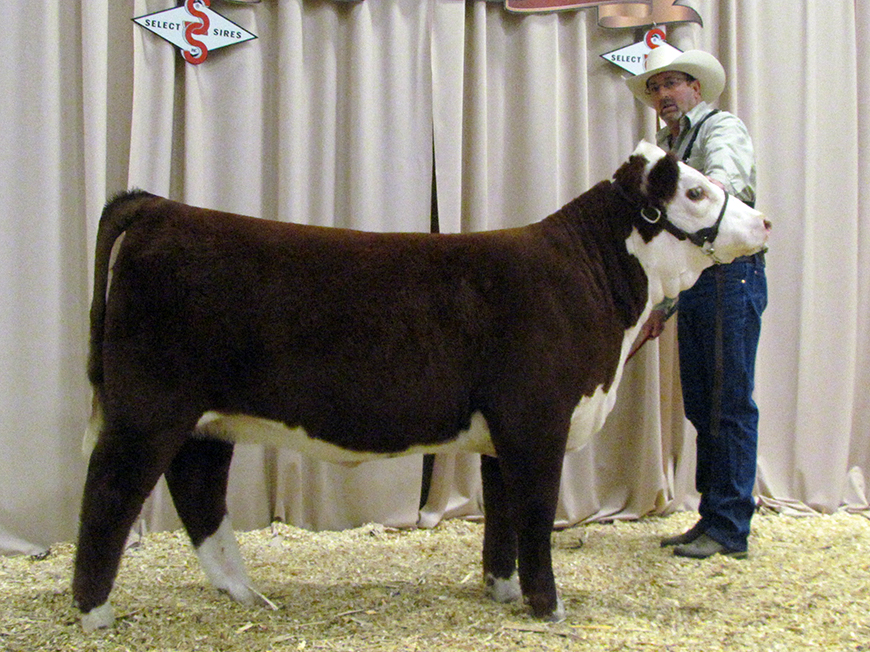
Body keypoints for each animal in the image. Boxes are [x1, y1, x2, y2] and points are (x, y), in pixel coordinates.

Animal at [73, 144, 768, 632]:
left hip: (206, 420)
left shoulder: (502, 434)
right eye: (697, 191)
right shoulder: (537, 421)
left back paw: (244, 593)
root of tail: (161, 207)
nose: (763, 221)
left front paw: (502, 592)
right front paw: (548, 607)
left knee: (197, 492)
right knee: (108, 495)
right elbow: (535, 514)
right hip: (147, 410)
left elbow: (502, 515)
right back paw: (95, 613)